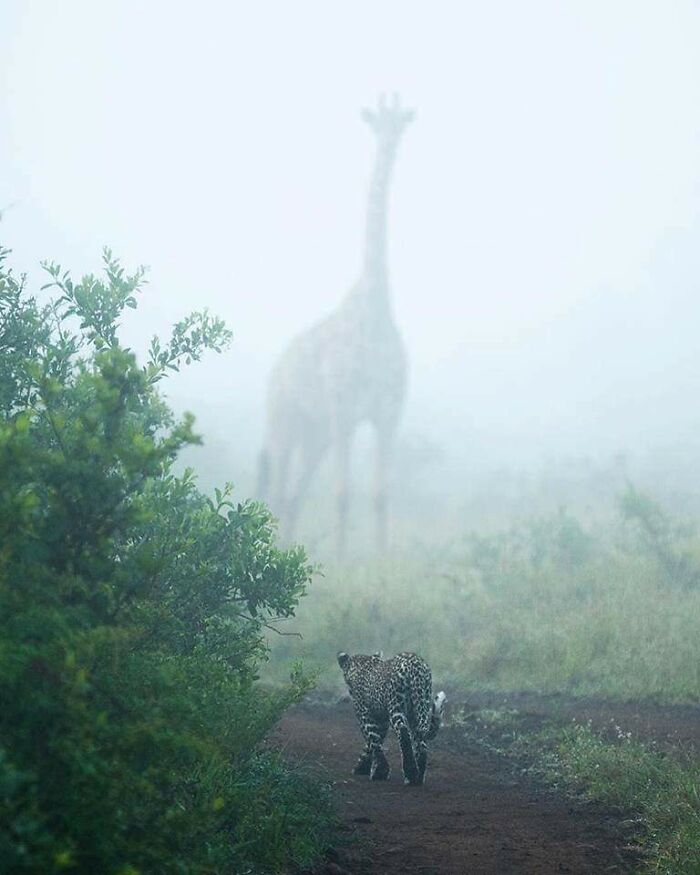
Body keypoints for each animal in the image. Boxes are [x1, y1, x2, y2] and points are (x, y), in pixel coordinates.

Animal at [259, 94, 412, 556]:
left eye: (402, 122)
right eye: (377, 123)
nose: (390, 143)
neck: (376, 308)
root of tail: (273, 374)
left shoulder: (388, 411)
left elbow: (381, 493)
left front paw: (380, 562)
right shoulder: (343, 409)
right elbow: (343, 493)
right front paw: (344, 563)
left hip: (315, 435)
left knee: (294, 495)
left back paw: (287, 551)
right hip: (284, 421)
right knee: (278, 492)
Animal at [337, 650, 446, 785]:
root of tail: (416, 665)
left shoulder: (364, 715)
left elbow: (373, 740)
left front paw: (378, 772)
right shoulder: (382, 720)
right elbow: (373, 743)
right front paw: (364, 767)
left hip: (396, 707)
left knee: (403, 732)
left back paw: (410, 774)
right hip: (419, 708)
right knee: (420, 742)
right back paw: (418, 777)